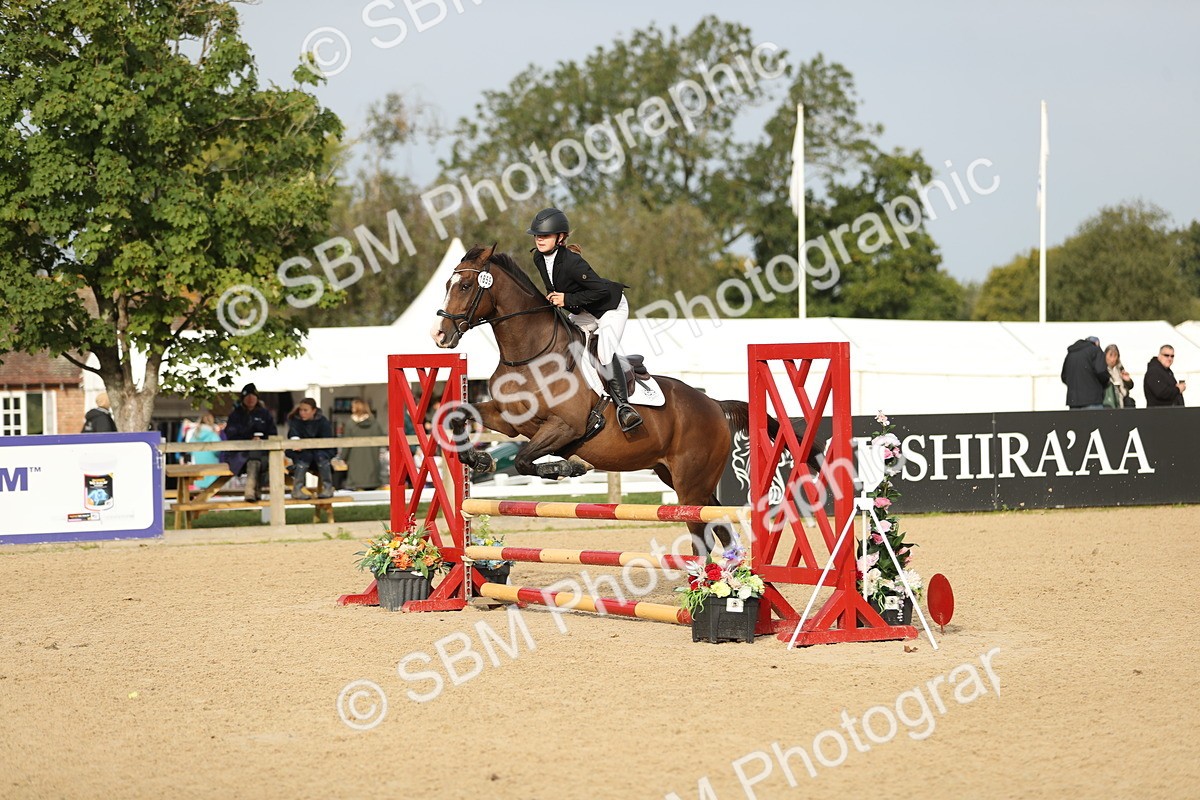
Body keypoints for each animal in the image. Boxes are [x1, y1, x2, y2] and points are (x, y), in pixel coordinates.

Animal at [430, 244, 818, 550]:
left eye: (465, 285)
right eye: (447, 284)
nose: (439, 335)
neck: (530, 356)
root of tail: (715, 405)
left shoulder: (564, 427)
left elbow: (525, 460)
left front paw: (568, 467)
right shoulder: (507, 420)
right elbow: (458, 415)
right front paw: (479, 459)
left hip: (690, 483)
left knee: (701, 528)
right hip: (678, 476)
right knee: (717, 522)